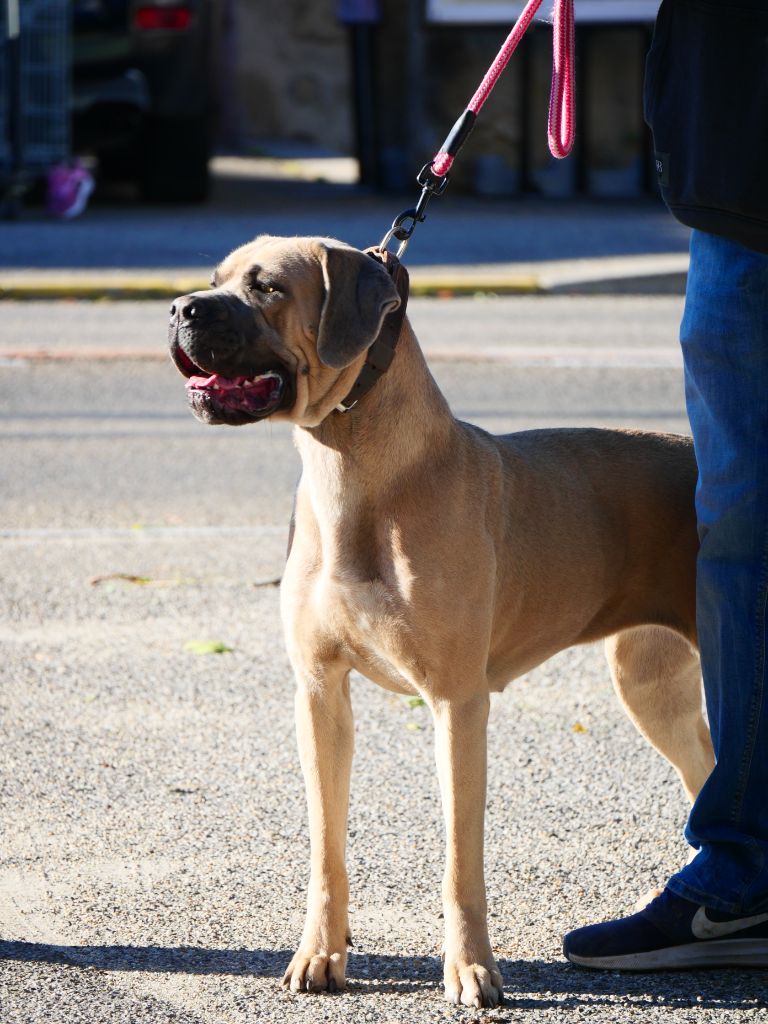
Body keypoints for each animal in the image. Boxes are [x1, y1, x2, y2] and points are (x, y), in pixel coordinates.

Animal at [167, 237, 716, 1007]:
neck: (357, 469)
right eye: (215, 279)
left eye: (268, 287)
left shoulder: (458, 704)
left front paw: (470, 968)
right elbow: (326, 849)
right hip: (653, 687)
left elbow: (460, 861)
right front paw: (320, 953)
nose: (179, 308)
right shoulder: (320, 693)